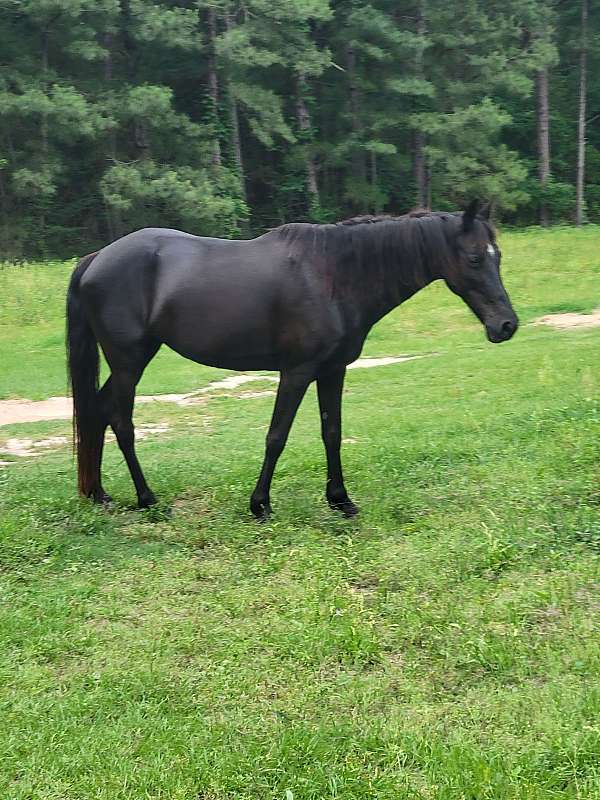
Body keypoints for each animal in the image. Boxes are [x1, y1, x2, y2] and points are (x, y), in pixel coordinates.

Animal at [65, 202, 516, 520]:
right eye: (475, 258)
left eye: (498, 256)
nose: (506, 325)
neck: (332, 276)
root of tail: (96, 258)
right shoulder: (296, 372)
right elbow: (276, 436)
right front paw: (260, 504)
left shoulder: (333, 370)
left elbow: (331, 432)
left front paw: (341, 500)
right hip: (129, 362)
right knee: (121, 421)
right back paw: (147, 499)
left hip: (130, 362)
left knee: (98, 411)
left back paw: (100, 494)